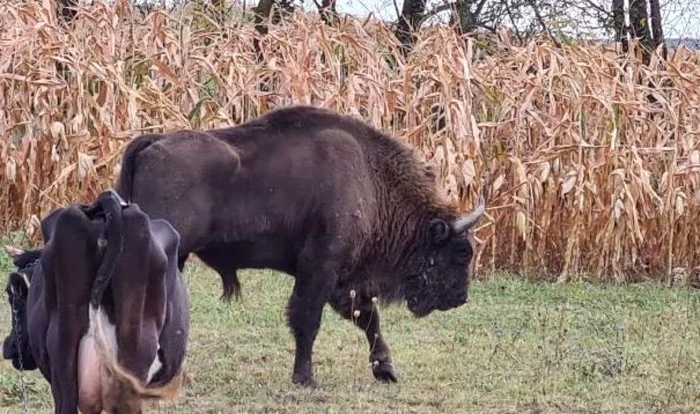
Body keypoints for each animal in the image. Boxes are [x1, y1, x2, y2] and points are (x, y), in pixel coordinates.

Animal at [116, 104, 486, 388]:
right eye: (461, 253)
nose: (460, 298)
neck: (370, 181)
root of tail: (154, 143)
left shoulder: (343, 281)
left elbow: (367, 318)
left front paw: (387, 371)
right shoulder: (321, 268)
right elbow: (308, 320)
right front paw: (306, 379)